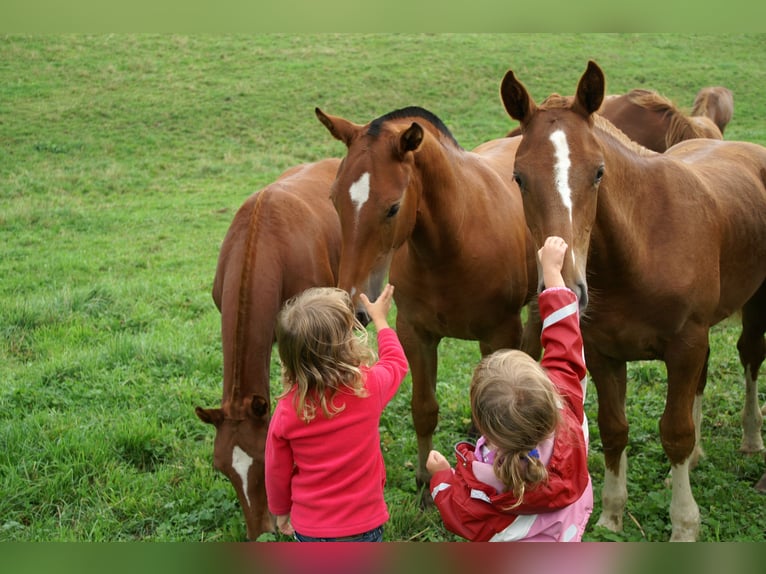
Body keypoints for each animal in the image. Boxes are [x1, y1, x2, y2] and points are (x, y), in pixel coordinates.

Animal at [314, 106, 540, 502]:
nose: (354, 306)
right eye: (334, 198)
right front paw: (424, 480)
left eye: (392, 208)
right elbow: (424, 408)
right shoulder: (415, 333)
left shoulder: (500, 333)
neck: (454, 241)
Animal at [500, 60, 766, 544]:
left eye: (598, 172)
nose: (568, 287)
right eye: (519, 177)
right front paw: (611, 514)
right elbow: (614, 429)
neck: (641, 249)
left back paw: (752, 439)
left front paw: (684, 525)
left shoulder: (684, 345)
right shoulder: (604, 353)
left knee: (751, 356)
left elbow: (674, 432)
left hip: (755, 306)